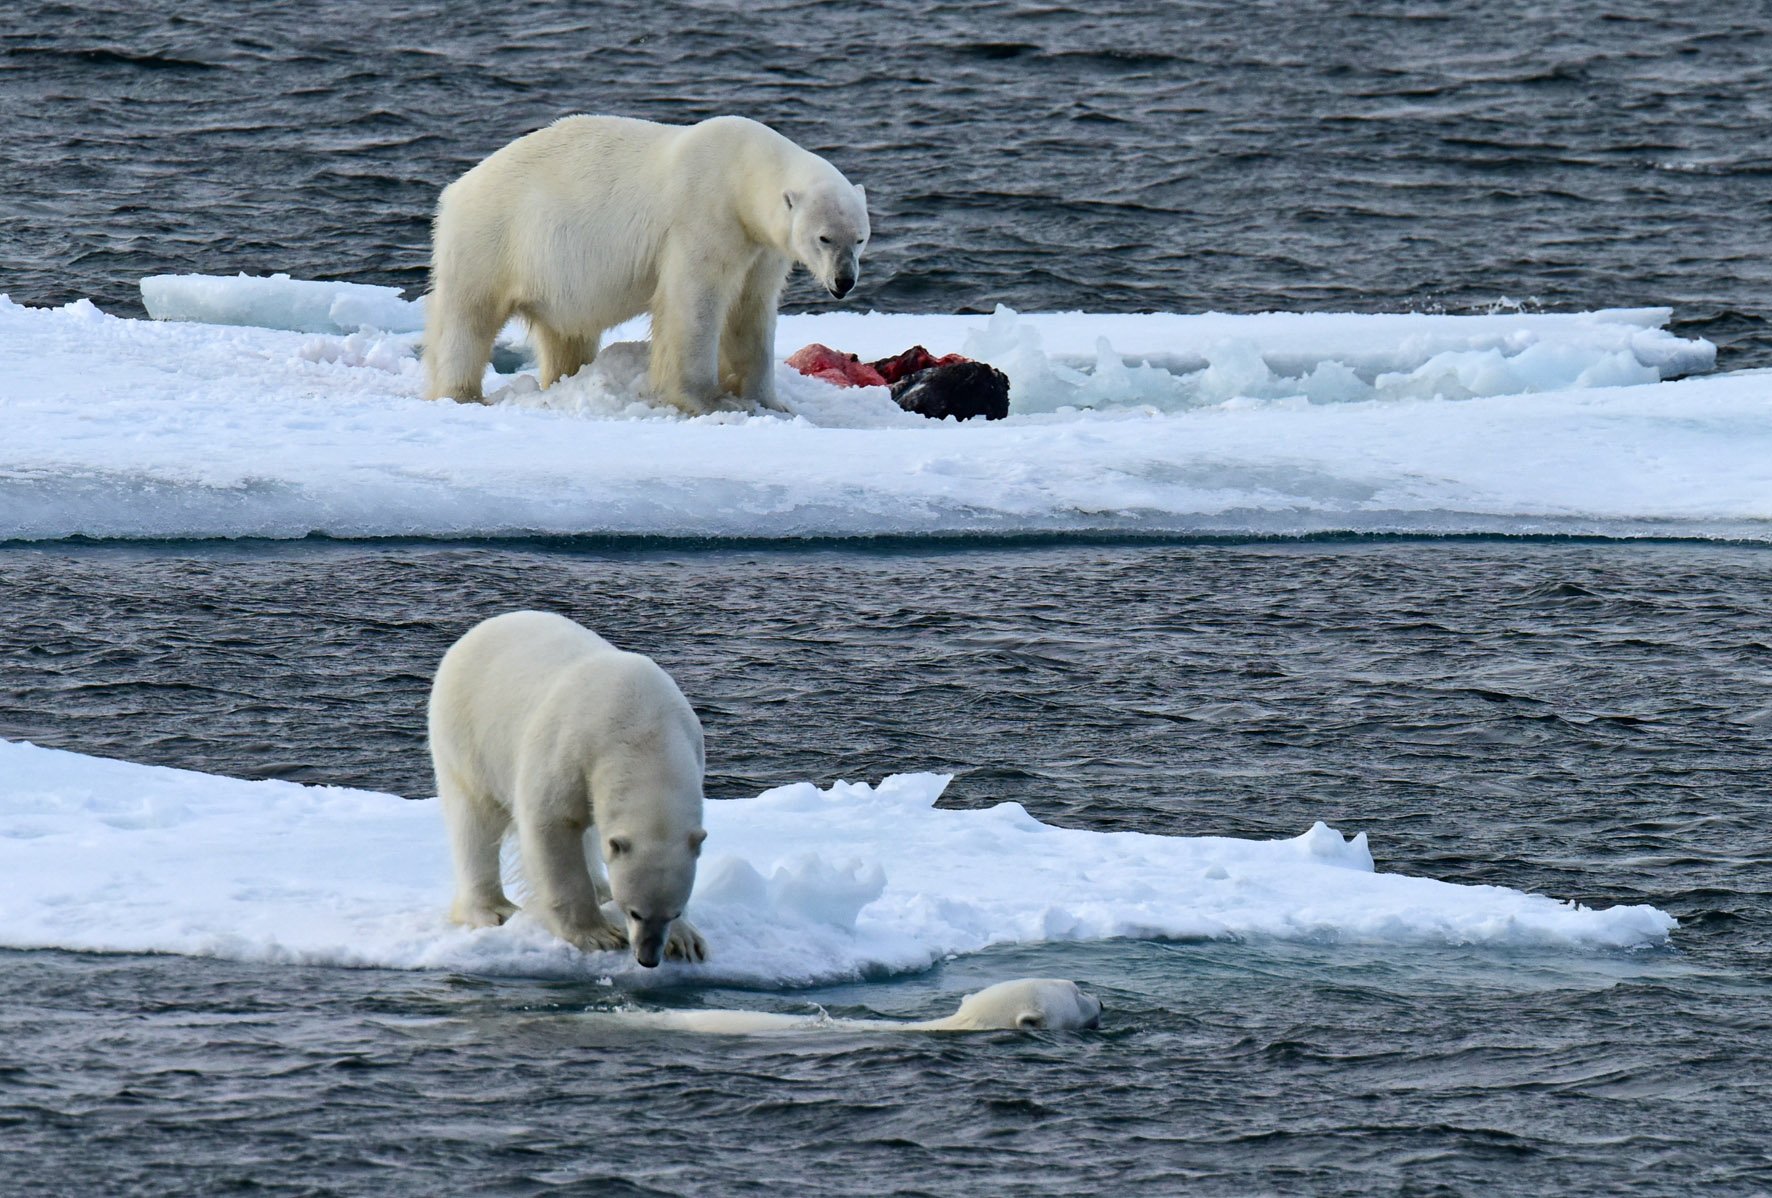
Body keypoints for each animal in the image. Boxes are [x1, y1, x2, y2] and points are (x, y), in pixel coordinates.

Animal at [423, 114, 871, 413]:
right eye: (824, 237)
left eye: (860, 238)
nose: (843, 281)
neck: (742, 170)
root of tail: (455, 190)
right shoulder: (703, 218)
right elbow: (694, 303)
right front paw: (706, 401)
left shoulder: (759, 249)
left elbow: (751, 312)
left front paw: (769, 402)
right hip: (491, 238)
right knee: (466, 320)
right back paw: (461, 394)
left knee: (566, 335)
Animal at [428, 610, 708, 968]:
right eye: (634, 912)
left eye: (673, 912)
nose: (648, 957)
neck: (645, 731)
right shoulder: (570, 747)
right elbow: (552, 825)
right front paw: (598, 935)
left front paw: (686, 940)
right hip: (469, 733)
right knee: (475, 818)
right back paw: (492, 910)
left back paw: (602, 889)